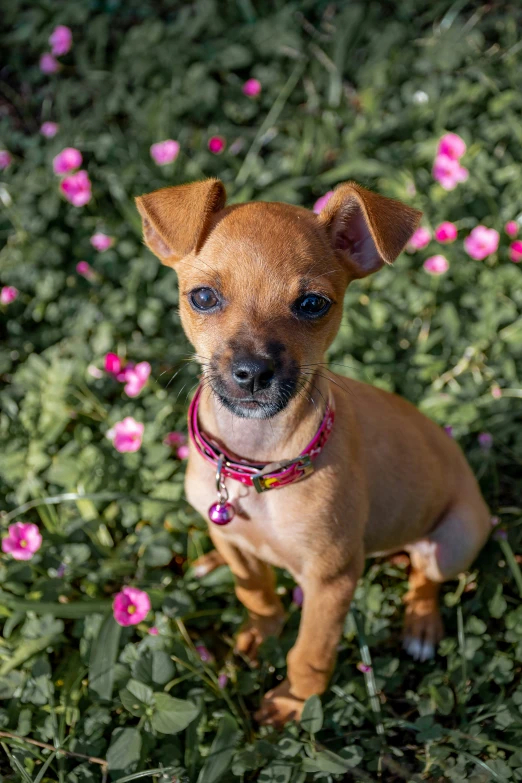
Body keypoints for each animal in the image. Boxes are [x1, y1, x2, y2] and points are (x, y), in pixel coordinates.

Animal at [134, 179, 488, 728]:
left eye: (313, 304)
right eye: (204, 297)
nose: (253, 372)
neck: (256, 465)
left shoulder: (331, 581)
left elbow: (311, 653)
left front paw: (293, 703)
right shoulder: (239, 543)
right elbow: (254, 590)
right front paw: (261, 631)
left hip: (454, 540)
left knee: (426, 578)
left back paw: (421, 628)